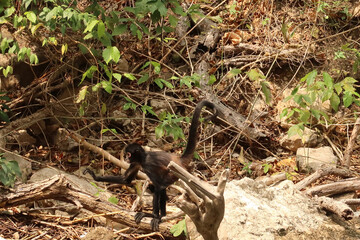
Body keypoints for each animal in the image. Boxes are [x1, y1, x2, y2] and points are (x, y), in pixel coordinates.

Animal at [83, 99, 217, 231]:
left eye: (128, 154)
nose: (125, 158)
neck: (143, 158)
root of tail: (178, 159)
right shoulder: (136, 163)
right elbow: (126, 179)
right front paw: (94, 176)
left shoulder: (148, 165)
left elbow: (158, 186)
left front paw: (156, 217)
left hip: (173, 174)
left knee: (159, 188)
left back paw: (157, 216)